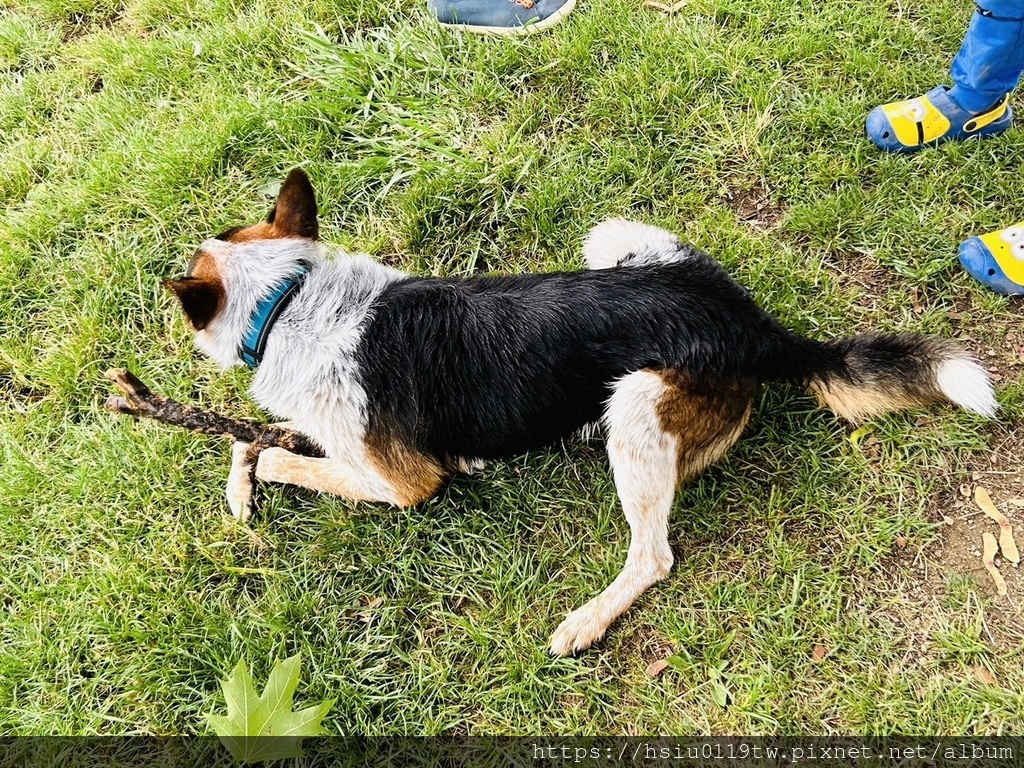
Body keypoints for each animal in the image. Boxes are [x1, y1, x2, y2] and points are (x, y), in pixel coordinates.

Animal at [165, 167, 991, 655]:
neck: (291, 299)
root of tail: (755, 326)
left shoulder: (402, 482)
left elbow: (284, 453)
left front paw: (260, 475)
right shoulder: (336, 432)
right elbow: (254, 438)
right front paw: (239, 484)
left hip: (635, 402)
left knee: (653, 557)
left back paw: (583, 623)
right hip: (617, 236)